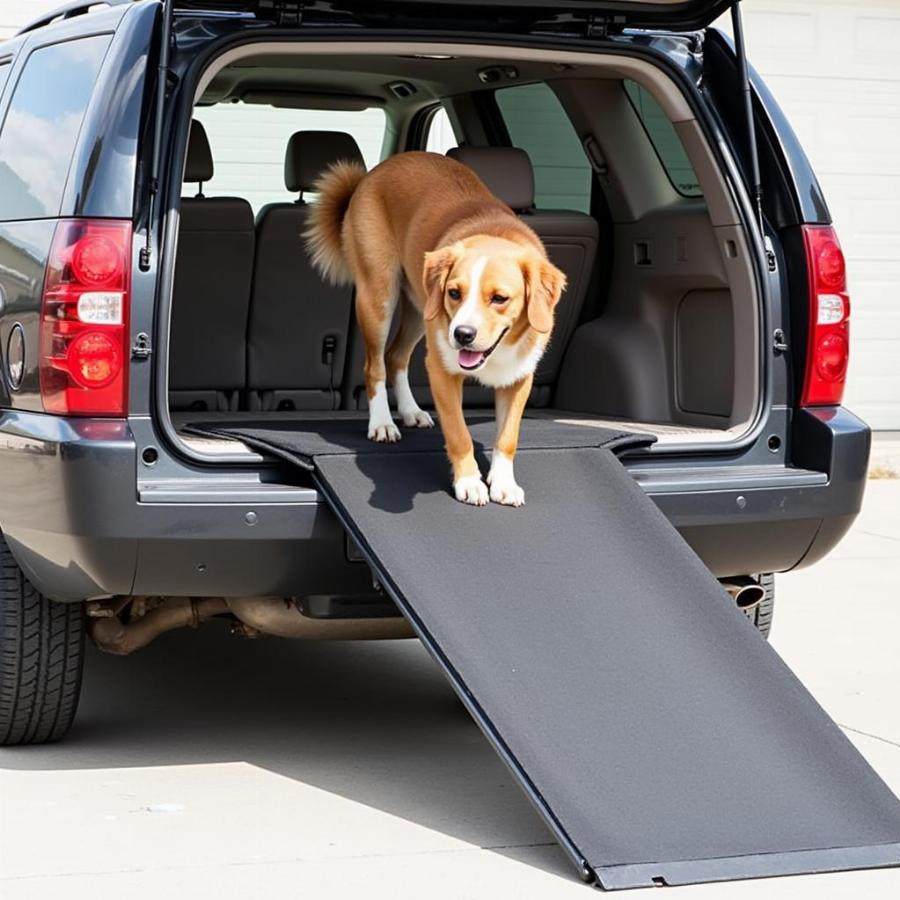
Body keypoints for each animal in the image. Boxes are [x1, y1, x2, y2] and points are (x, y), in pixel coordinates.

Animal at [306, 150, 568, 502]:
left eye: (499, 298)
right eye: (454, 293)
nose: (462, 335)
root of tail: (380, 169)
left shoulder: (519, 379)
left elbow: (507, 437)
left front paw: (503, 483)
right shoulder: (442, 371)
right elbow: (459, 433)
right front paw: (469, 481)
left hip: (421, 311)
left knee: (396, 357)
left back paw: (410, 411)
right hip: (379, 298)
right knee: (375, 367)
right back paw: (382, 422)